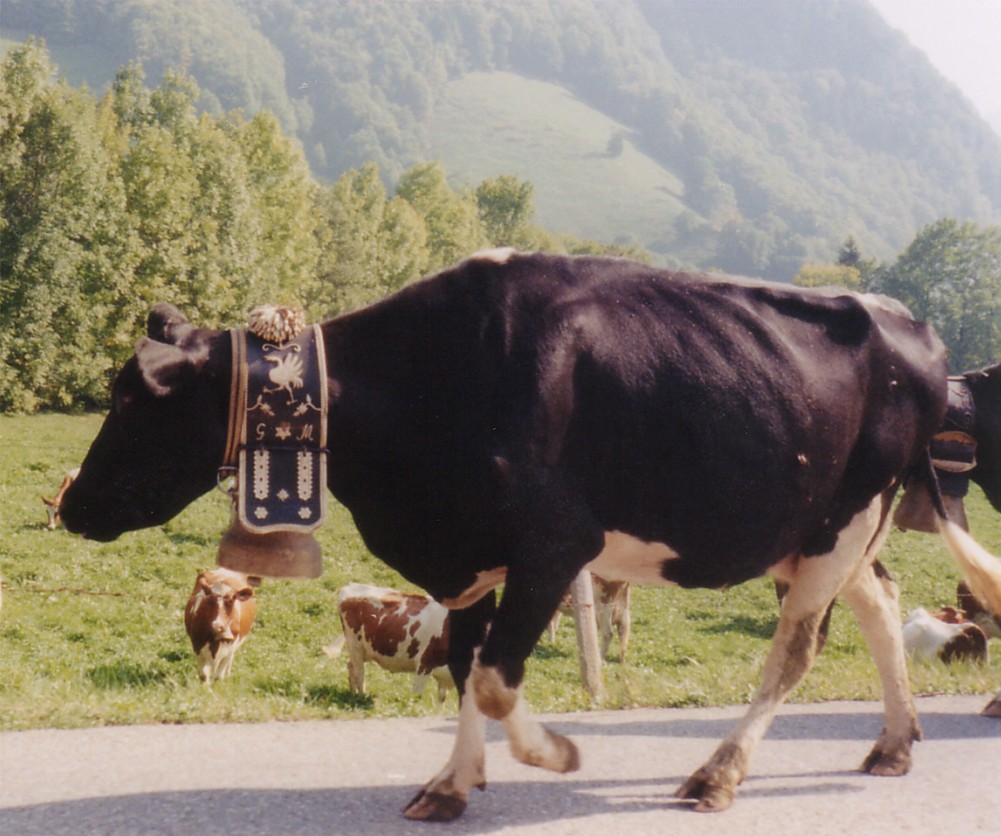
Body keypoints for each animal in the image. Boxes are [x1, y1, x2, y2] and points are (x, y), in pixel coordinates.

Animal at [60, 251, 1001, 819]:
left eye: (134, 399)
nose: (73, 506)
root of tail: (915, 330)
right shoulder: (467, 557)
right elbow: (469, 667)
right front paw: (449, 785)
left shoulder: (553, 546)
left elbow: (494, 680)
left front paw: (552, 751)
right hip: (812, 529)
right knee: (878, 605)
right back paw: (891, 744)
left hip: (845, 517)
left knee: (798, 648)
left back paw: (718, 773)